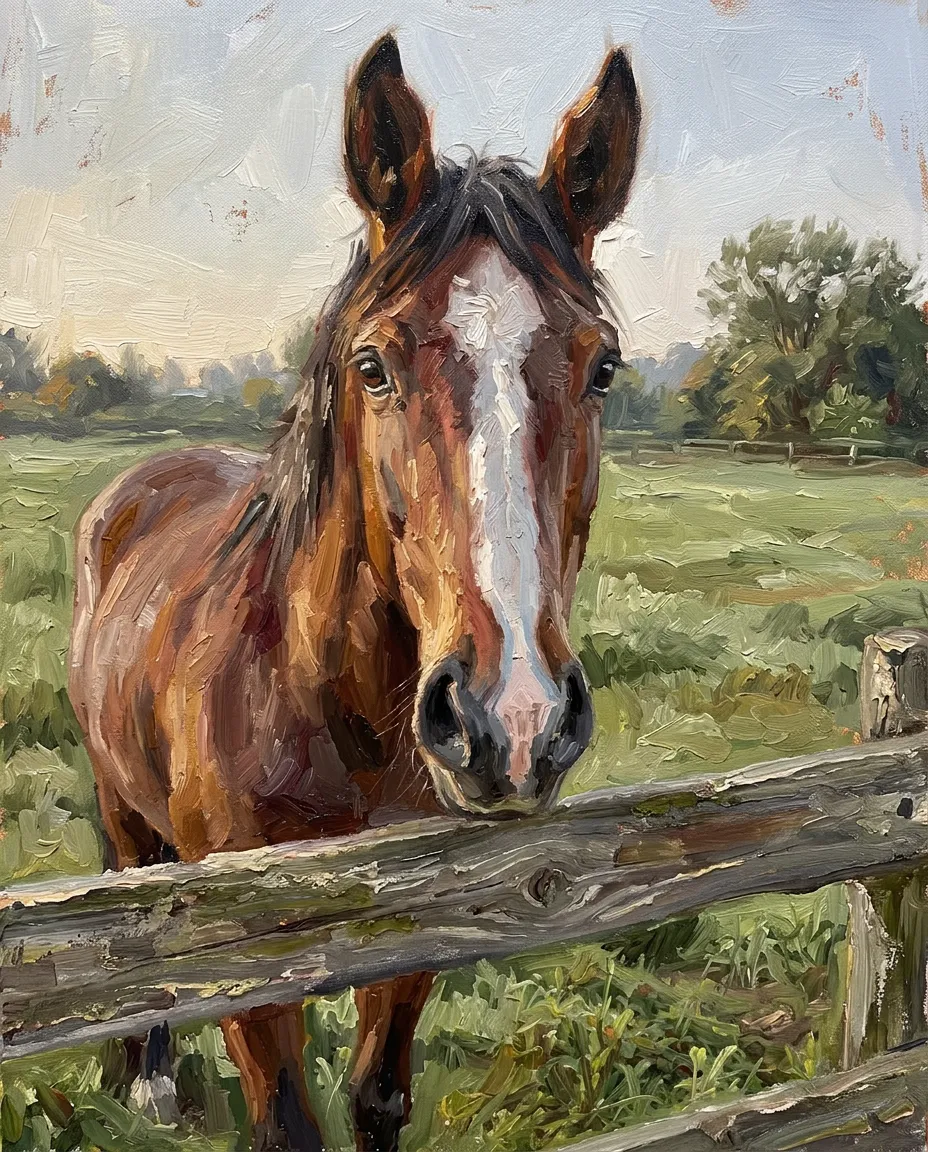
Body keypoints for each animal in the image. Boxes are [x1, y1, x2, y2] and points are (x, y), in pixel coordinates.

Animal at [69, 32, 641, 1152]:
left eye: (602, 368)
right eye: (372, 364)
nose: (512, 720)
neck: (320, 702)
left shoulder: (416, 925)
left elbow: (378, 1097)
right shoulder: (248, 966)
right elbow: (285, 1120)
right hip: (124, 807)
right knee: (134, 903)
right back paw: (149, 1080)